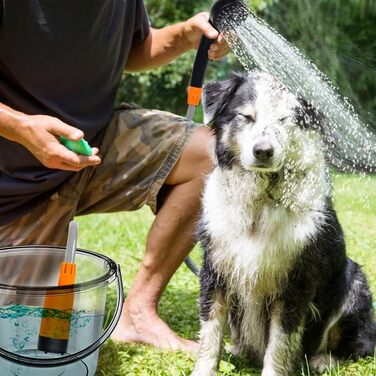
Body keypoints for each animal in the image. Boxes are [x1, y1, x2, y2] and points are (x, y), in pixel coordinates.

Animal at [192, 72, 374, 374]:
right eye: (246, 117)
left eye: (284, 121)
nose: (263, 151)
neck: (260, 202)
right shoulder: (215, 269)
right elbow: (210, 329)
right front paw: (204, 368)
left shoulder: (295, 281)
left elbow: (279, 341)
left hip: (355, 282)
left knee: (360, 344)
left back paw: (324, 359)